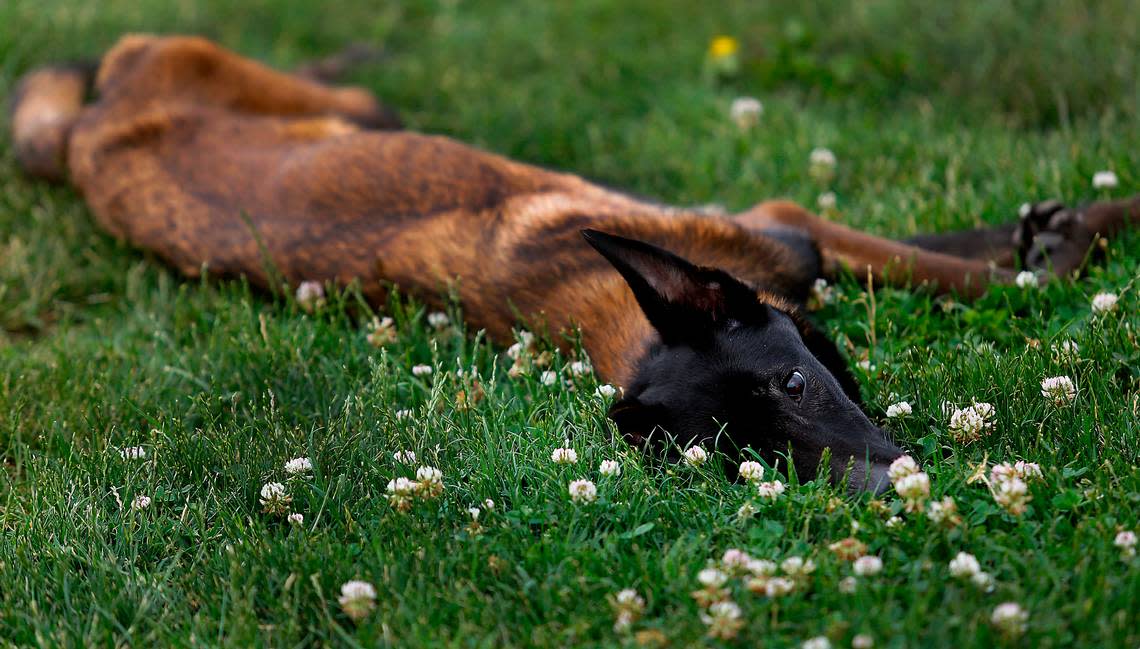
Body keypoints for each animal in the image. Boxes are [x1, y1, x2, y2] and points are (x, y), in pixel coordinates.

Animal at [11, 34, 1140, 490]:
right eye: (747, 461)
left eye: (795, 382)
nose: (889, 488)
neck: (595, 306)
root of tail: (86, 135)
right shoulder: (781, 236)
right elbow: (967, 268)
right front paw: (1063, 238)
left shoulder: (778, 227)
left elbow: (959, 264)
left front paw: (1071, 228)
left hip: (319, 104)